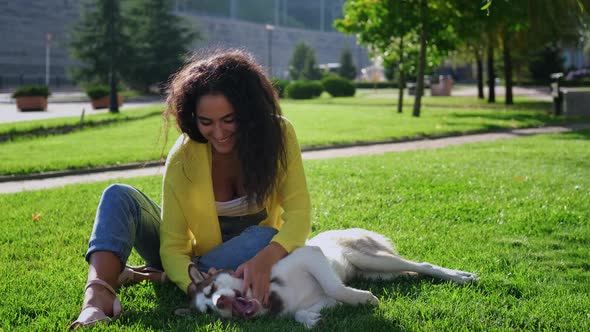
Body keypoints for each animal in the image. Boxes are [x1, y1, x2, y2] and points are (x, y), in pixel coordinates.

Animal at [183, 228, 478, 330]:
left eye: (212, 288)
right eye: (208, 310)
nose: (220, 303)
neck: (270, 298)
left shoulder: (310, 255)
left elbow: (335, 287)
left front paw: (365, 299)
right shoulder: (322, 301)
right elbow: (303, 311)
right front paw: (311, 320)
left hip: (372, 259)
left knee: (423, 264)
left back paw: (460, 276)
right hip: (378, 271)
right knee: (409, 271)